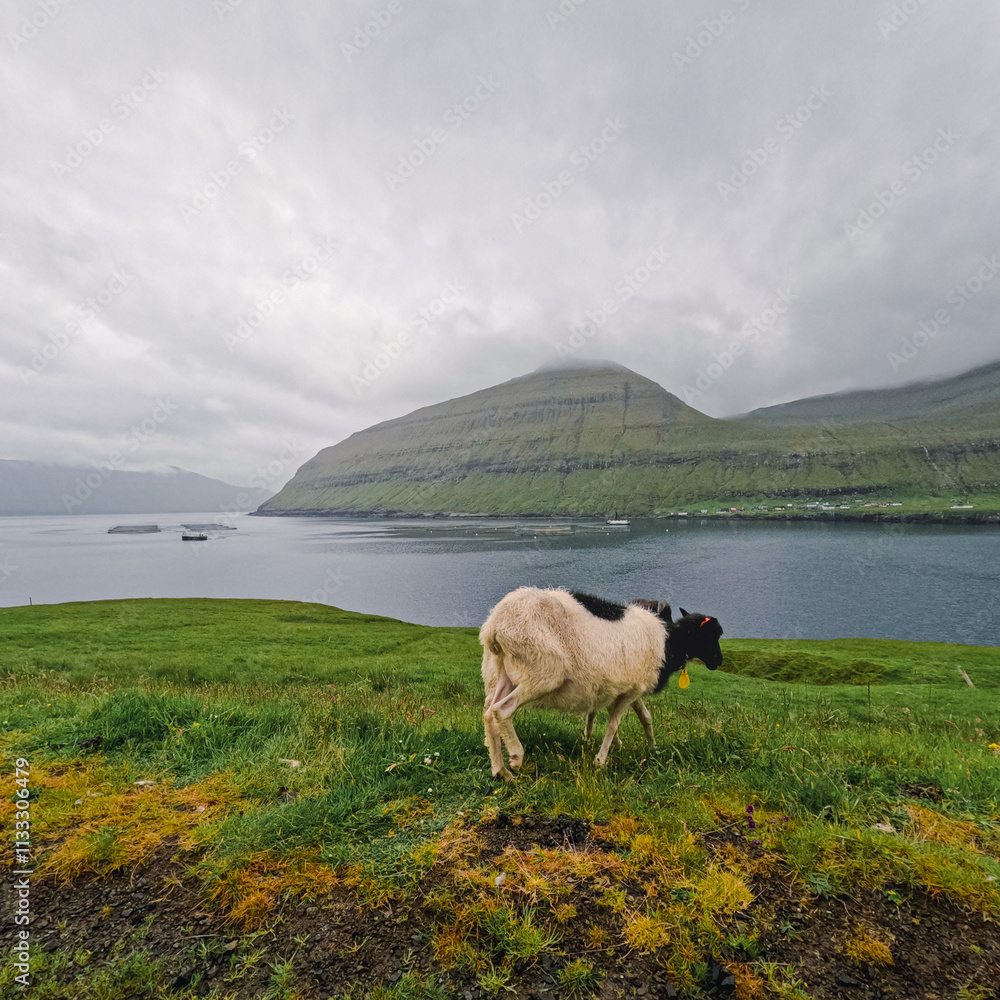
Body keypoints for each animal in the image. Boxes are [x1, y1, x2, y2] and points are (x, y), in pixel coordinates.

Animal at [480, 587, 724, 781]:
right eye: (712, 635)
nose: (718, 661)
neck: (669, 641)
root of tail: (496, 626)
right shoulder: (630, 691)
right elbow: (614, 723)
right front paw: (600, 761)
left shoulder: (628, 688)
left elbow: (644, 718)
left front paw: (650, 748)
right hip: (541, 674)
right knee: (502, 710)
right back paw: (516, 758)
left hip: (503, 674)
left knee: (489, 713)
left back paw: (501, 771)